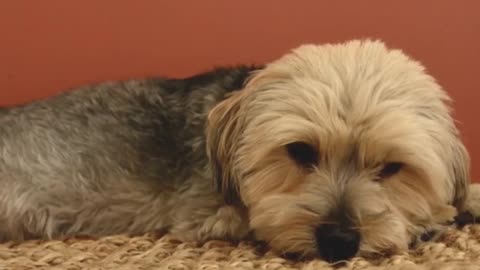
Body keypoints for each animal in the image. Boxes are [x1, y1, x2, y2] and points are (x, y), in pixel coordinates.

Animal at [0, 39, 480, 262]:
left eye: (393, 167)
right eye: (300, 152)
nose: (339, 242)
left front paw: (466, 201)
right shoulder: (209, 216)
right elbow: (267, 219)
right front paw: (427, 223)